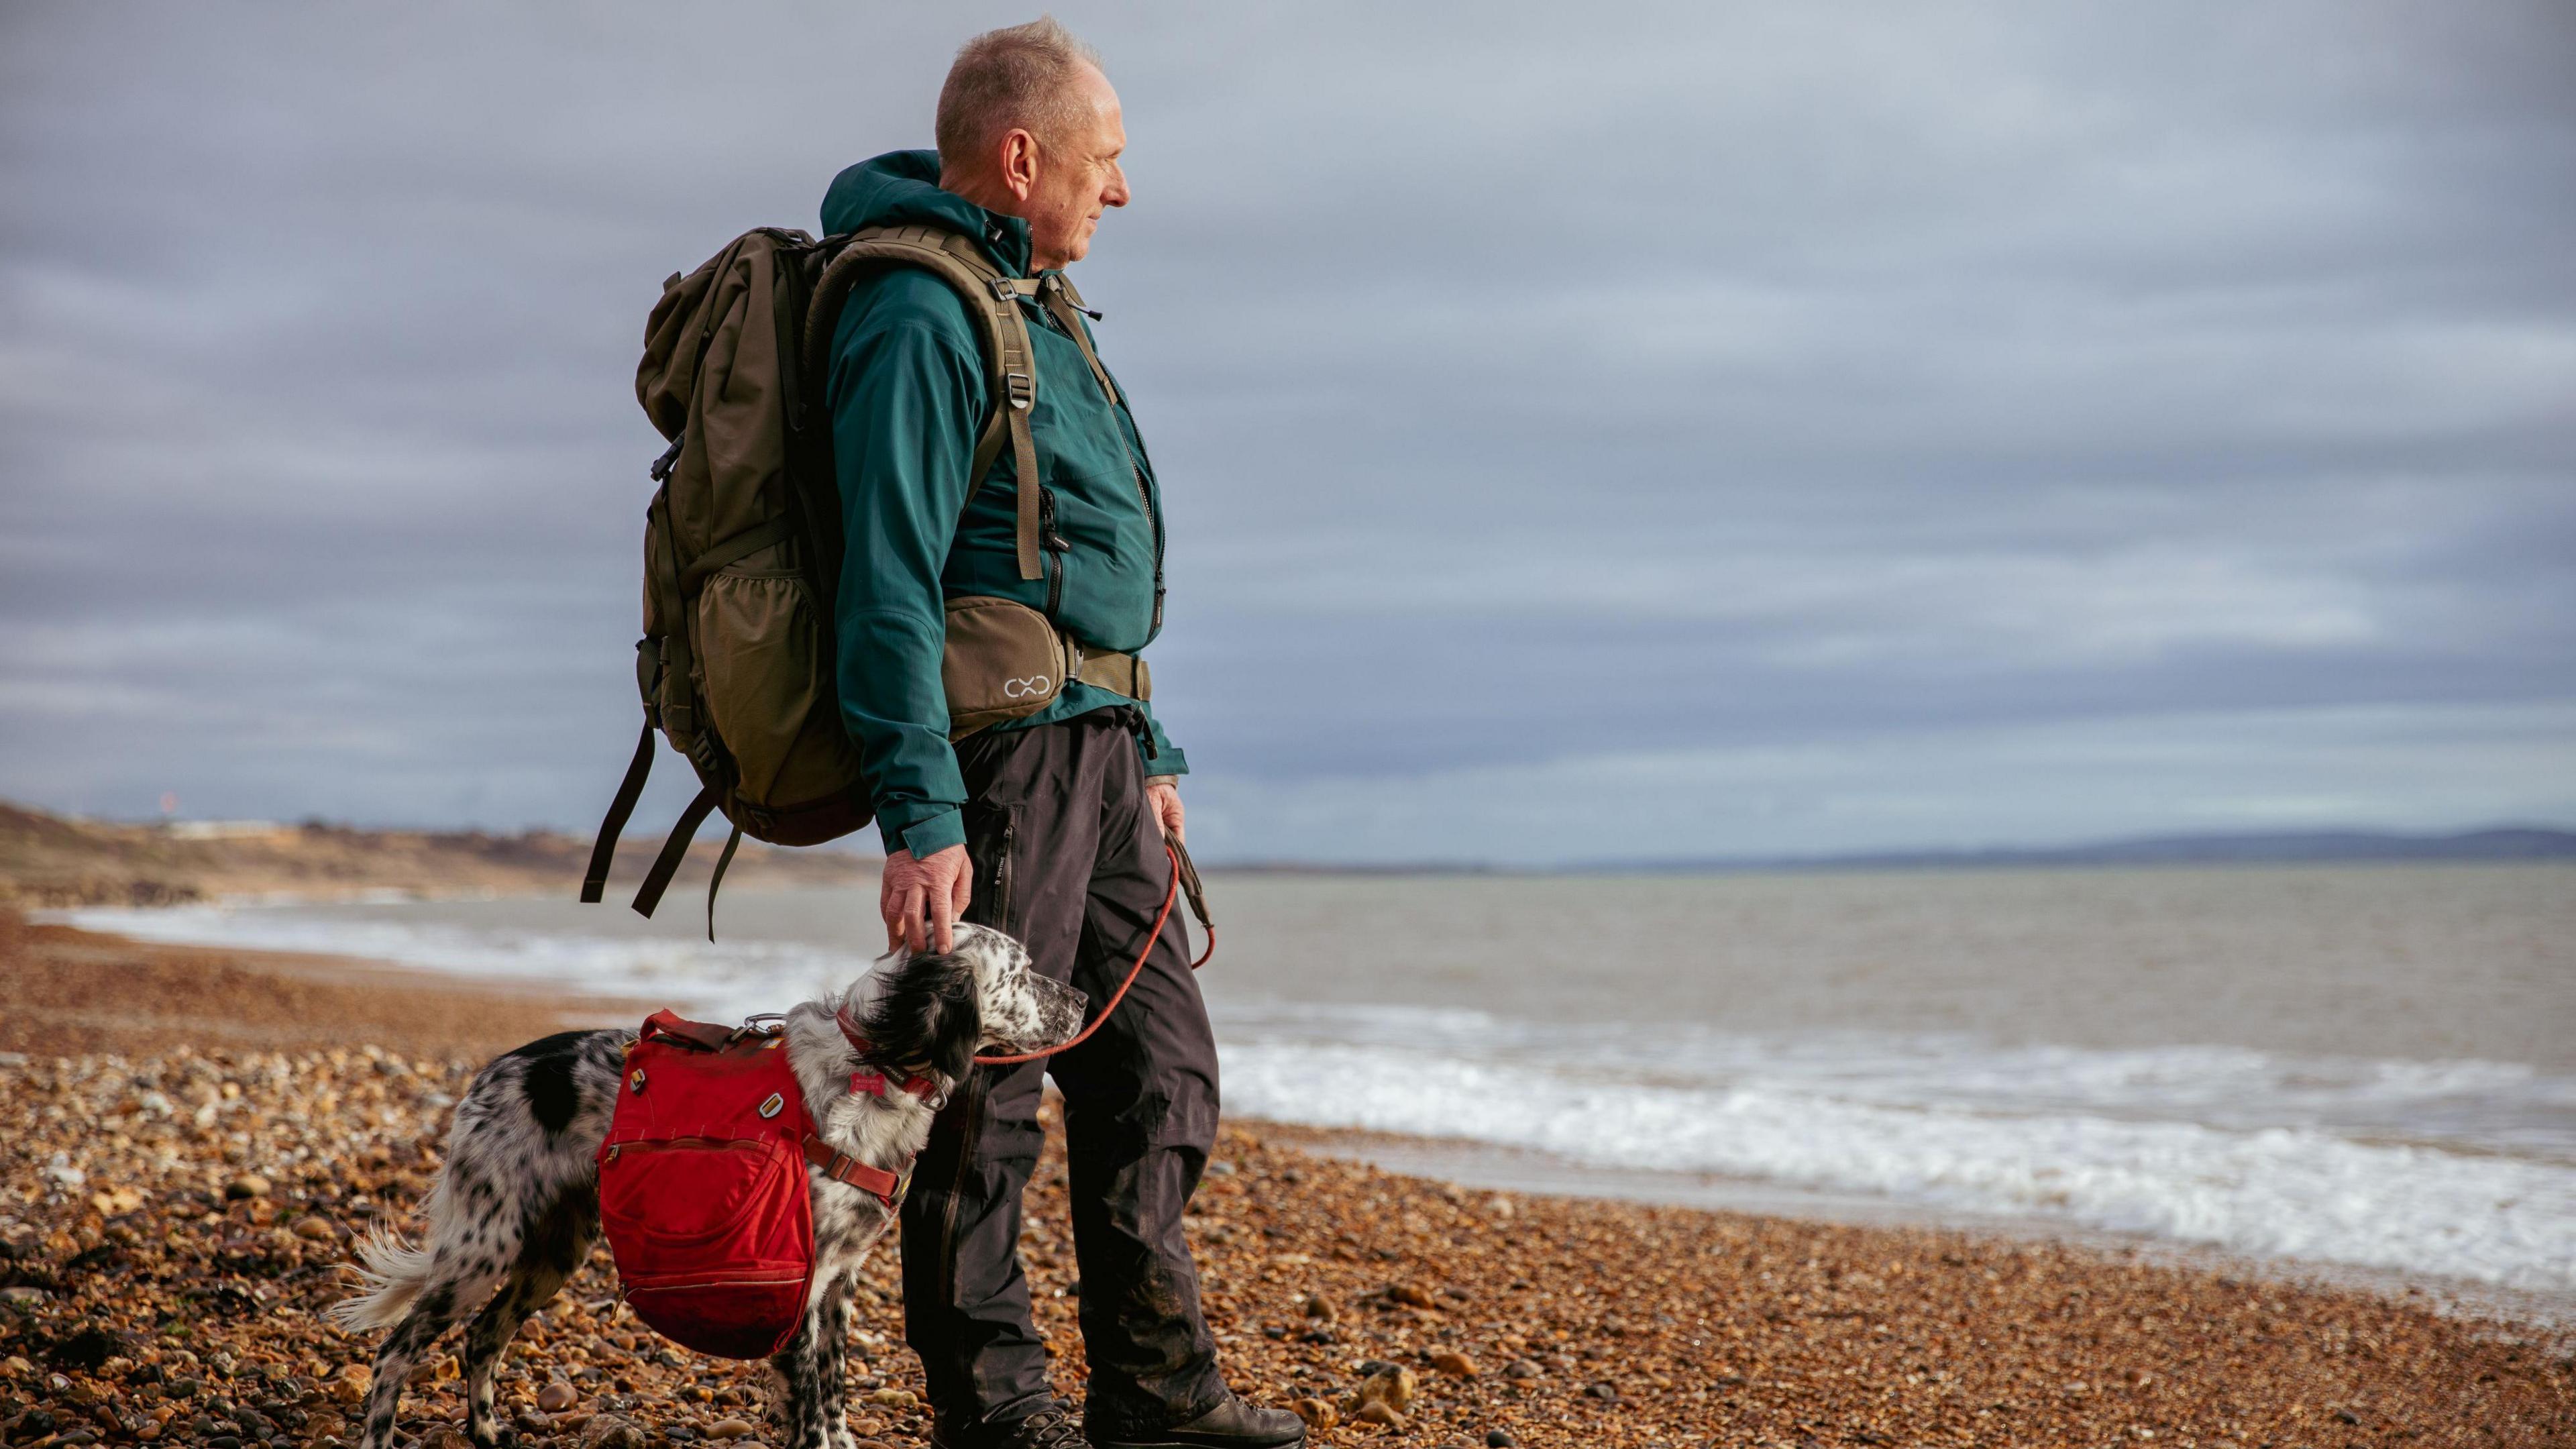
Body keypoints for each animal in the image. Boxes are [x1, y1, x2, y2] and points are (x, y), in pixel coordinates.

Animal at [327, 918, 1081, 1444]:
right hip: (484, 1248)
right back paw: (380, 1437)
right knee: (395, 1353)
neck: (875, 1069)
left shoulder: (839, 1280)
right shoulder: (797, 1283)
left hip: (554, 1251)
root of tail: (490, 1074)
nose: (1081, 997)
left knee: (483, 1339)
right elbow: (811, 1412)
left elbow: (834, 1396)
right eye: (1024, 971)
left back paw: (487, 1435)